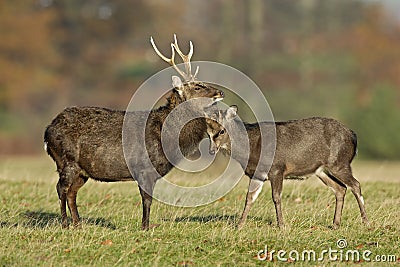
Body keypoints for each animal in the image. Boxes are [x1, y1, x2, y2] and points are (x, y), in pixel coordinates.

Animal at [45, 35, 225, 231]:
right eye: (197, 87)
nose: (220, 92)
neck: (166, 138)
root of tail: (48, 131)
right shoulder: (144, 168)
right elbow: (147, 200)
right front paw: (145, 227)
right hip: (67, 160)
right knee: (61, 188)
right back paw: (65, 224)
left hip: (81, 171)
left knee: (72, 192)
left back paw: (78, 224)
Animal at [206, 107, 368, 230]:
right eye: (208, 133)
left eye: (222, 131)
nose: (212, 151)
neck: (251, 149)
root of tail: (353, 136)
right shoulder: (257, 175)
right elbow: (249, 198)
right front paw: (239, 225)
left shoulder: (277, 168)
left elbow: (276, 197)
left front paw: (282, 225)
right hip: (323, 170)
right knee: (340, 188)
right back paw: (335, 224)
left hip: (339, 163)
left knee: (355, 185)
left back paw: (365, 222)